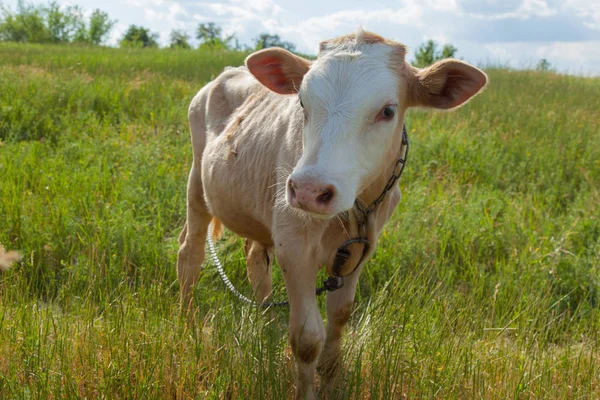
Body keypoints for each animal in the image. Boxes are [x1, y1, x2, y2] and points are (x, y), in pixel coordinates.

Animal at [178, 29, 488, 398]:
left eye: (388, 111)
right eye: (302, 103)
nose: (309, 190)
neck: (352, 209)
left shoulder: (362, 247)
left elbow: (340, 315)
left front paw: (331, 379)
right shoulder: (294, 245)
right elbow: (307, 338)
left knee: (255, 262)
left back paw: (264, 324)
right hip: (197, 183)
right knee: (190, 252)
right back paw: (186, 323)